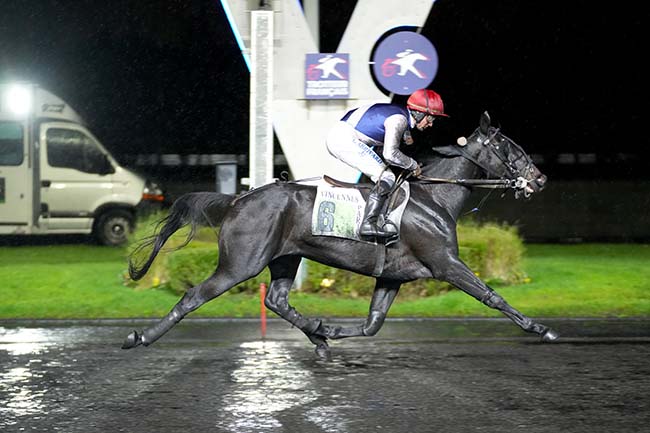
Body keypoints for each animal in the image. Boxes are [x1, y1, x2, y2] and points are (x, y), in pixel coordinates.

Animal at [123, 112, 556, 358]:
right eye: (508, 148)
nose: (539, 179)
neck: (434, 197)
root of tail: (238, 198)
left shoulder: (393, 275)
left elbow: (372, 323)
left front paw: (328, 329)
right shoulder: (445, 263)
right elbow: (493, 296)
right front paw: (541, 329)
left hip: (284, 258)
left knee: (277, 300)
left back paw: (317, 337)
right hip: (240, 264)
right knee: (193, 296)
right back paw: (140, 337)